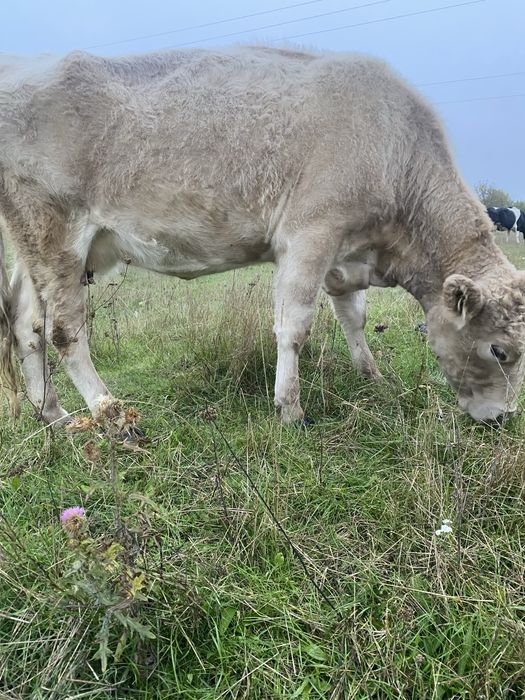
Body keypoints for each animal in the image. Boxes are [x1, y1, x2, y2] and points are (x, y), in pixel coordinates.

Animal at [1, 46, 525, 427]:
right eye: (499, 350)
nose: (503, 418)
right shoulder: (310, 235)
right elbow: (294, 326)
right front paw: (290, 408)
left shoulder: (345, 255)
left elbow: (353, 318)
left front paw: (372, 376)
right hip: (55, 231)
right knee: (64, 331)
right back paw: (107, 411)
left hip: (35, 247)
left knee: (26, 325)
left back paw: (54, 415)